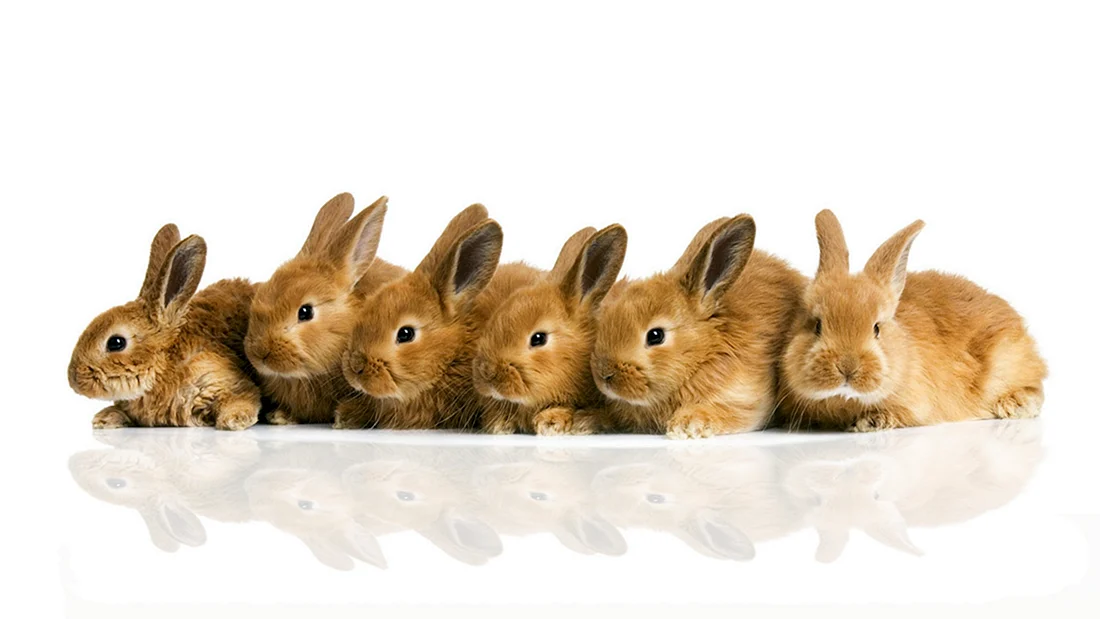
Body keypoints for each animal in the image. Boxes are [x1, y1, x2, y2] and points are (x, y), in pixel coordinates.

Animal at [68, 224, 262, 430]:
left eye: (116, 342)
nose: (74, 380)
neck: (165, 365)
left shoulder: (220, 378)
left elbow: (243, 397)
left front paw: (234, 420)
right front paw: (104, 418)